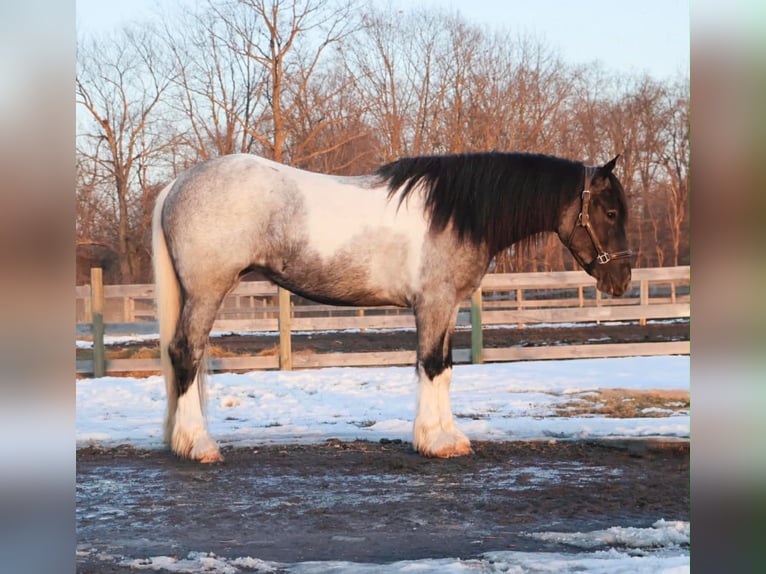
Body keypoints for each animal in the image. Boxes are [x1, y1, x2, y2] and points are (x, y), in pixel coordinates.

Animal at [152, 151, 632, 462]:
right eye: (610, 213)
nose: (622, 280)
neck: (456, 212)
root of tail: (178, 184)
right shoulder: (432, 303)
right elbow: (431, 366)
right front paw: (436, 442)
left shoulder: (446, 307)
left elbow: (445, 367)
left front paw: (449, 436)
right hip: (207, 291)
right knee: (186, 354)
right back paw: (199, 445)